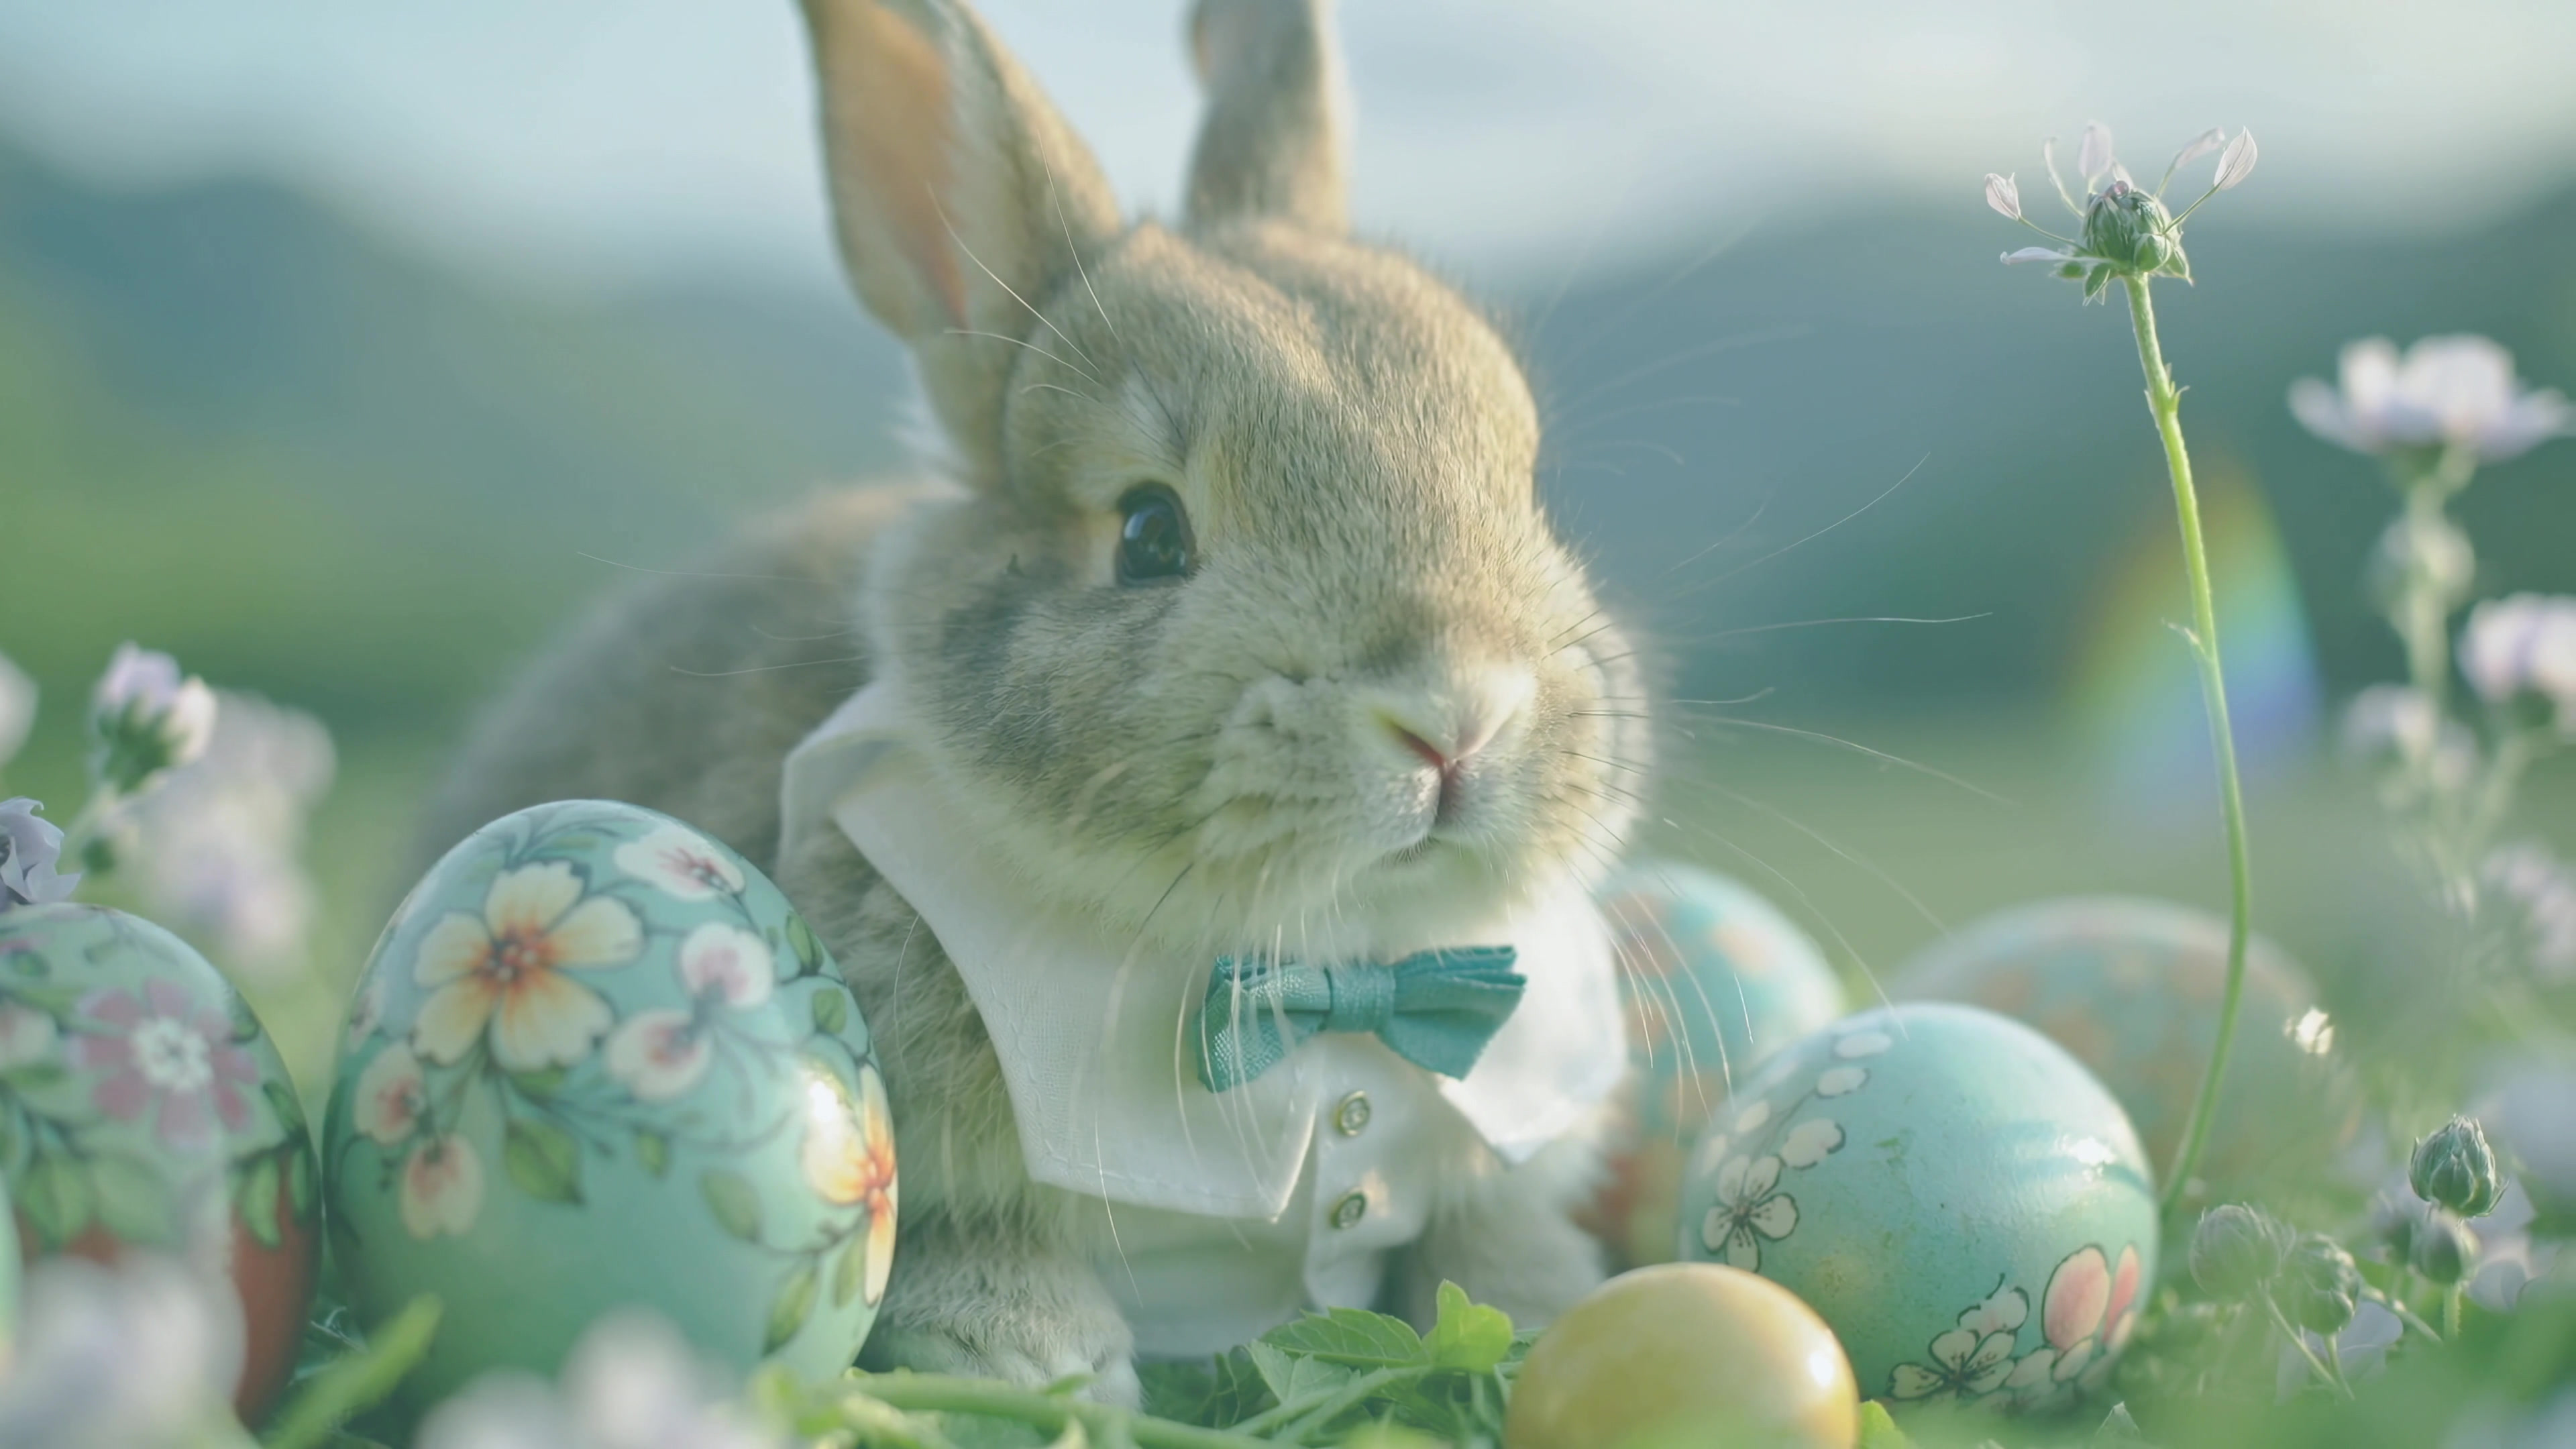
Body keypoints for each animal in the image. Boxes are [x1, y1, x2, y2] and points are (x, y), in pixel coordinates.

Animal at [415, 0, 1652, 1405]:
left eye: (1526, 490)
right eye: (1150, 534)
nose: (1457, 716)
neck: (1328, 968)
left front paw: (1545, 1302)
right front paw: (1038, 1353)